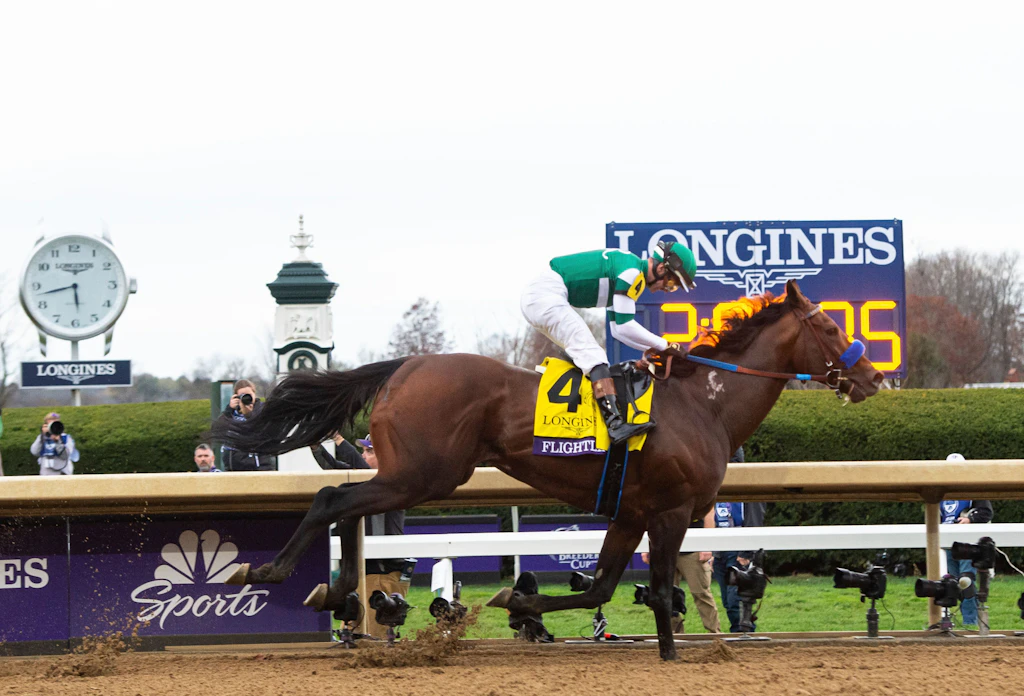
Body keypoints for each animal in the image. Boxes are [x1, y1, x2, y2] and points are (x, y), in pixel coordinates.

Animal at [213, 280, 884, 660]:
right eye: (830, 325)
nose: (873, 378)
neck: (703, 403)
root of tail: (406, 366)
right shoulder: (669, 512)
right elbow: (656, 585)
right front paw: (672, 654)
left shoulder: (631, 512)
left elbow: (603, 586)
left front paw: (517, 601)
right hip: (423, 476)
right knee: (332, 497)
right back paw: (277, 573)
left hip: (417, 475)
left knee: (342, 504)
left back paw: (340, 599)